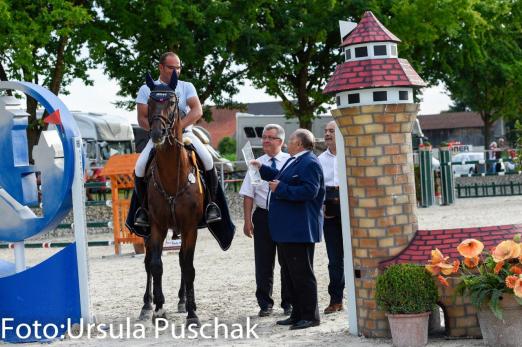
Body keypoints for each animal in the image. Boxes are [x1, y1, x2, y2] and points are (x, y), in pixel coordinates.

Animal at [139, 70, 204, 326]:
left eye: (172, 103)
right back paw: (147, 306)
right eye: (149, 103)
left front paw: (193, 313)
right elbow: (156, 265)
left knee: (182, 262)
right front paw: (158, 309)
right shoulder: (157, 226)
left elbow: (189, 267)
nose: (158, 134)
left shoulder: (190, 227)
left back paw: (183, 301)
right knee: (149, 262)